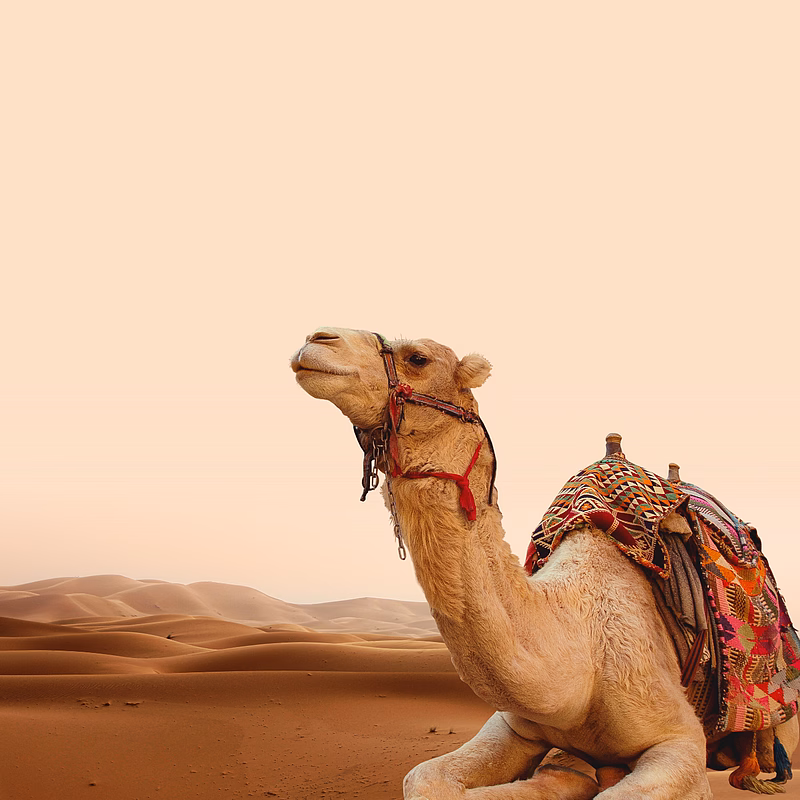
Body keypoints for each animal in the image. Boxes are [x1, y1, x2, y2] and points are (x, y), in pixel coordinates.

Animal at [290, 327, 798, 799]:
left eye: (418, 357)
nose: (316, 340)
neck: (581, 656)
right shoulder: (514, 725)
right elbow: (425, 778)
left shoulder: (680, 738)